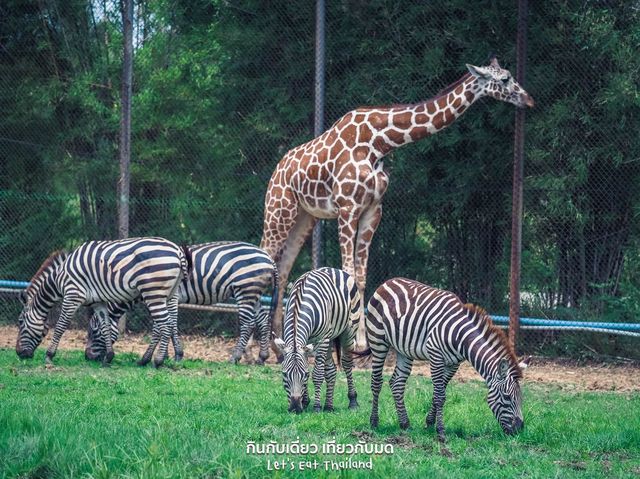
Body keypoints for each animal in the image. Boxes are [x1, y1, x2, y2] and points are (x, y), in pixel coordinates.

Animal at [15, 237, 190, 368]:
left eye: (20, 322)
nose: (19, 354)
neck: (59, 278)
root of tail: (177, 250)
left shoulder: (72, 295)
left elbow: (60, 327)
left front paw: (49, 356)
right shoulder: (98, 302)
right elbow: (105, 326)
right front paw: (109, 357)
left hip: (154, 292)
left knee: (165, 325)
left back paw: (157, 361)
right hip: (169, 294)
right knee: (168, 324)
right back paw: (152, 359)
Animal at [82, 244, 278, 364]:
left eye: (93, 331)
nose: (87, 357)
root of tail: (269, 258)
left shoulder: (171, 296)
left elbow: (168, 325)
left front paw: (174, 355)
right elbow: (165, 326)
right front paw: (167, 354)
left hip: (245, 290)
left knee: (248, 323)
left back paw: (234, 357)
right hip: (254, 294)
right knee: (262, 320)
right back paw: (262, 357)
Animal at [260, 57, 536, 356]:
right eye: (505, 79)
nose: (529, 100)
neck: (380, 142)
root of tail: (277, 169)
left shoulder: (372, 210)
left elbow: (361, 277)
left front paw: (361, 344)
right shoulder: (347, 208)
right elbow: (349, 274)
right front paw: (349, 343)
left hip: (304, 217)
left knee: (282, 271)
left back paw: (279, 345)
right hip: (278, 209)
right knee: (263, 258)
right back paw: (257, 349)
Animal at [272, 268, 360, 414]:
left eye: (305, 375)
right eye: (284, 374)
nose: (295, 408)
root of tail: (334, 269)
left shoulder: (322, 338)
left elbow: (318, 374)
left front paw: (316, 407)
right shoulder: (307, 342)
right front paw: (305, 401)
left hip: (349, 330)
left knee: (347, 363)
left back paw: (353, 401)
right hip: (330, 337)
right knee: (331, 370)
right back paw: (329, 406)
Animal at [356, 280, 528, 444]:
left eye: (521, 398)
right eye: (507, 397)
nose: (519, 430)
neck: (461, 337)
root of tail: (387, 282)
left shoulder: (453, 364)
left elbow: (438, 393)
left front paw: (429, 423)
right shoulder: (436, 356)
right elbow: (440, 396)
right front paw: (440, 432)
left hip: (404, 350)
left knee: (397, 383)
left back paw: (404, 424)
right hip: (378, 340)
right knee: (376, 382)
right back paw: (374, 422)